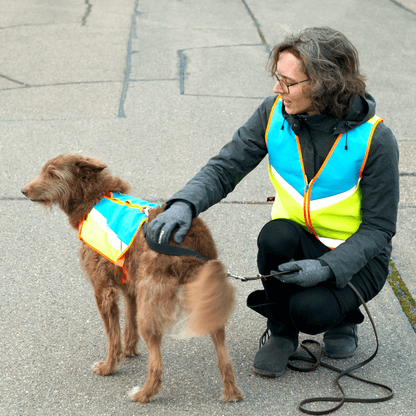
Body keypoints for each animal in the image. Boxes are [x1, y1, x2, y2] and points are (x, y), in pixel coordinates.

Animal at [22, 152, 244, 404]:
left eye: (53, 174)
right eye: (44, 171)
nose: (23, 190)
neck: (94, 197)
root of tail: (194, 241)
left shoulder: (103, 290)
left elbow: (112, 336)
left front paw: (109, 366)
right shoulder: (130, 286)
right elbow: (128, 322)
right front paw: (128, 351)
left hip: (151, 309)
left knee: (157, 364)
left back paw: (144, 394)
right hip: (206, 299)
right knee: (224, 356)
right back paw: (231, 392)